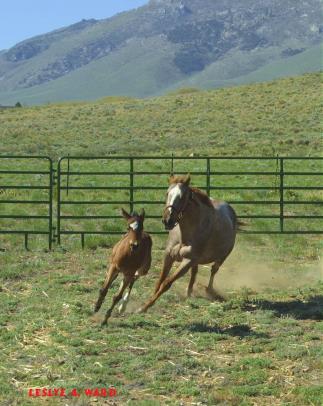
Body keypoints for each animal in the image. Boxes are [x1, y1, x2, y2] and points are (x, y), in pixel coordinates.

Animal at [139, 173, 240, 312]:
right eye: (167, 193)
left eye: (182, 197)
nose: (167, 220)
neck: (184, 235)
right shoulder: (168, 255)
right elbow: (160, 280)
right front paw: (144, 304)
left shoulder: (187, 261)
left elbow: (167, 283)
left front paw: (145, 307)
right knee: (195, 272)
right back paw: (189, 292)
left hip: (222, 256)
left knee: (213, 270)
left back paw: (208, 290)